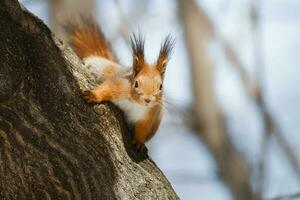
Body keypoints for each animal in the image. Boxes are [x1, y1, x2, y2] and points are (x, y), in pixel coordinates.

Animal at [65, 18, 173, 151]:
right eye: (136, 83)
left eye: (161, 86)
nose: (147, 100)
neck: (135, 103)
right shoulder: (119, 85)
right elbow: (107, 88)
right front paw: (94, 96)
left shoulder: (151, 116)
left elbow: (144, 131)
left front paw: (139, 142)